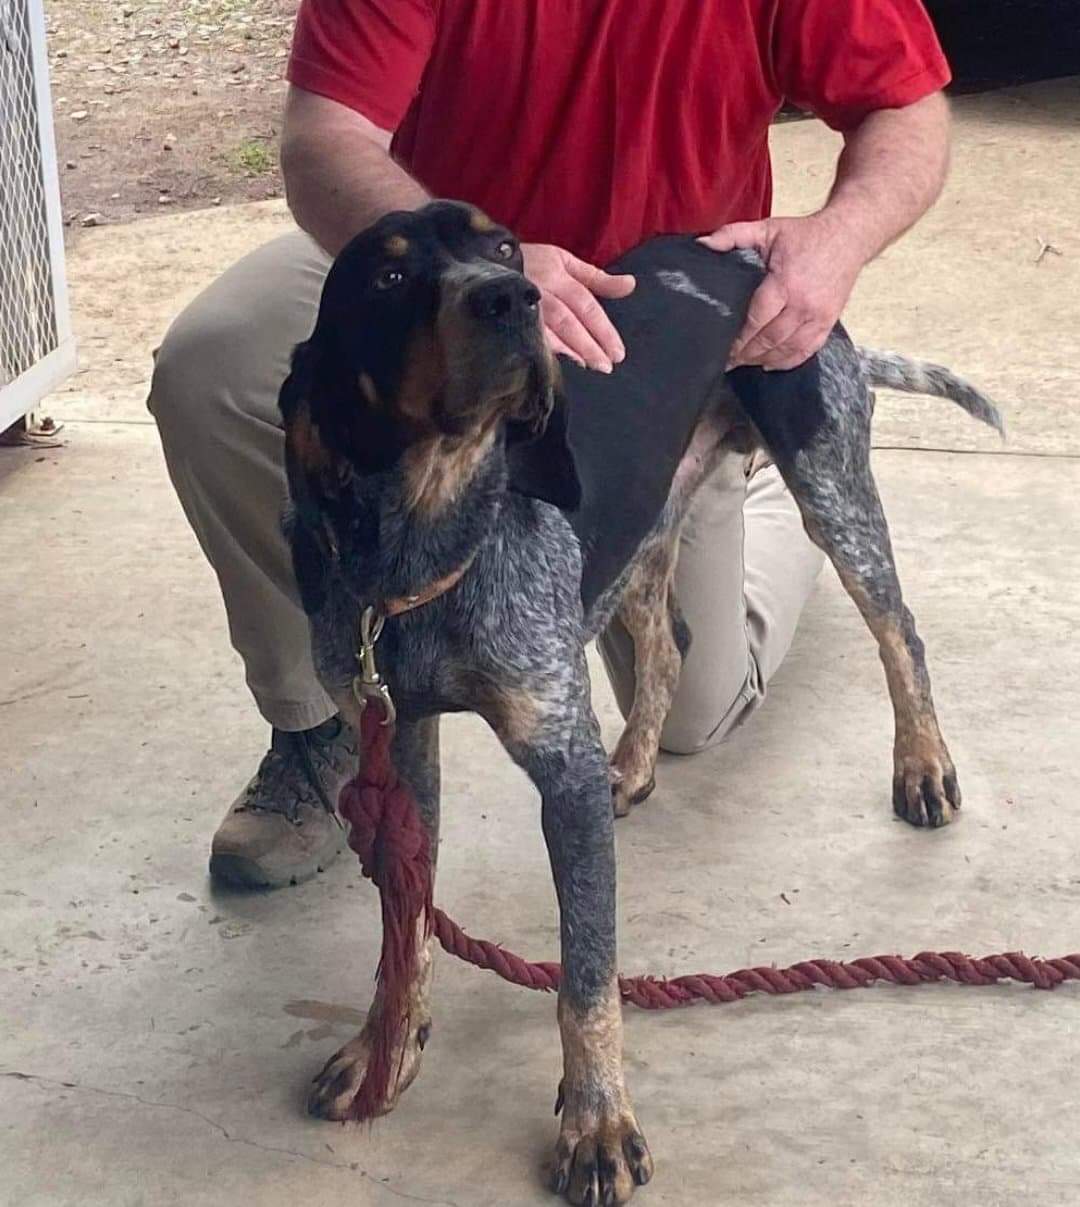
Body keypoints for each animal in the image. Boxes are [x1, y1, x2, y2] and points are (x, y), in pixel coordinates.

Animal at [278, 200, 1003, 1207]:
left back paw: (923, 764)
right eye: (386, 278)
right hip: (650, 521)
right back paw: (635, 764)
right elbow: (405, 930)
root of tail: (748, 251)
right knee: (668, 646)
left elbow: (586, 978)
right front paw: (386, 1046)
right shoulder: (400, 743)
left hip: (830, 487)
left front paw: (597, 1123)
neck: (427, 544)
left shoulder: (560, 770)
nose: (515, 298)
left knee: (900, 630)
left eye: (503, 247)